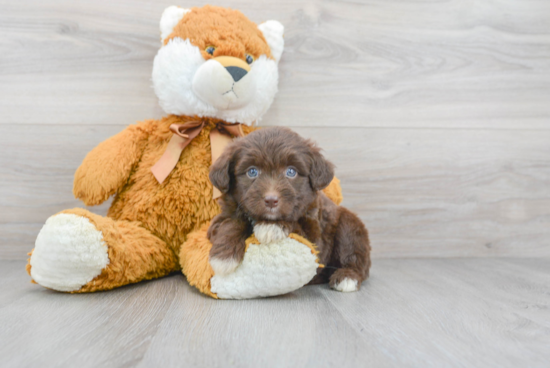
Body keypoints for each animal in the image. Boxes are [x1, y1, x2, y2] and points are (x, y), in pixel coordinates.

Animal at [209, 128, 374, 292]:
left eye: (291, 172)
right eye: (252, 172)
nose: (271, 200)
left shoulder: (315, 239)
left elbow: (296, 224)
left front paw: (272, 226)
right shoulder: (218, 221)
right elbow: (233, 222)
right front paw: (223, 256)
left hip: (350, 226)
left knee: (354, 256)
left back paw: (347, 277)